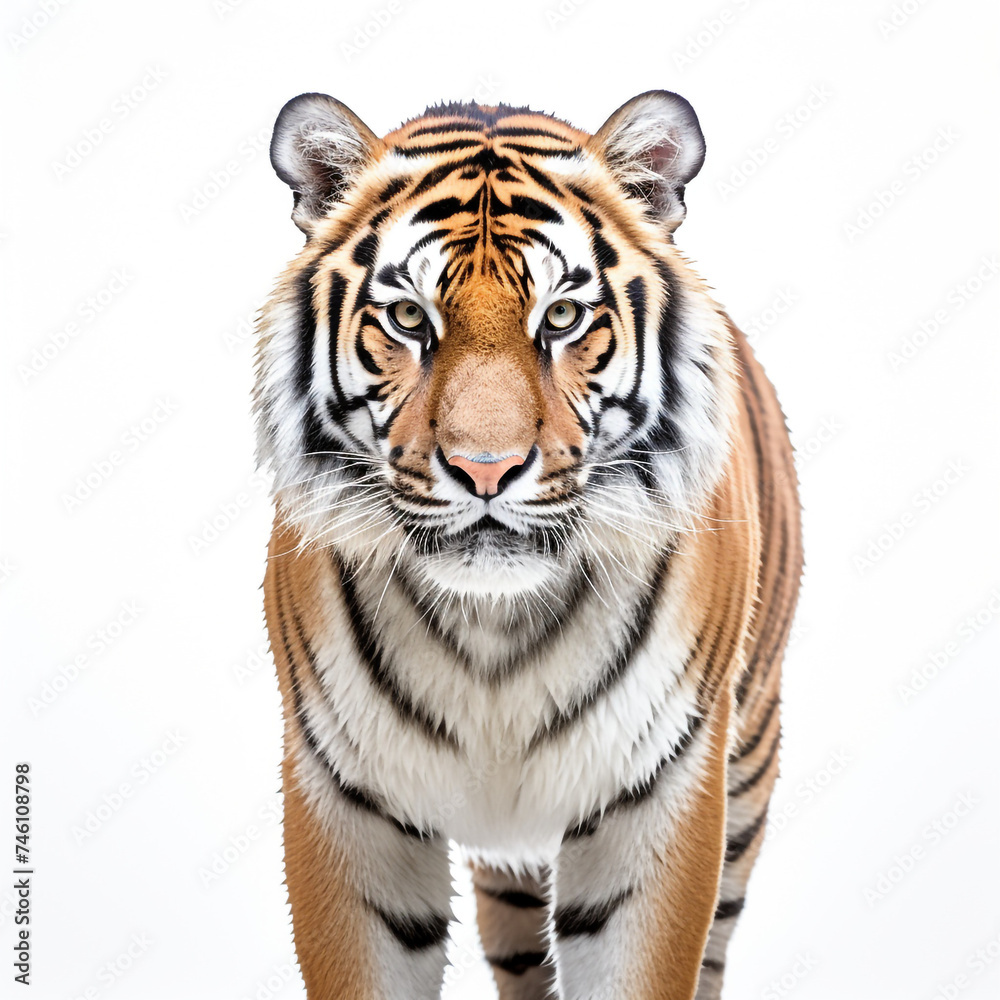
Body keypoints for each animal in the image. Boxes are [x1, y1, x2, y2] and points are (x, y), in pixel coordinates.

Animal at [254, 89, 802, 1000]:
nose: (487, 469)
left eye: (564, 316)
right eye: (410, 317)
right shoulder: (345, 798)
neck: (494, 633)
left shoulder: (661, 794)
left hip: (749, 760)